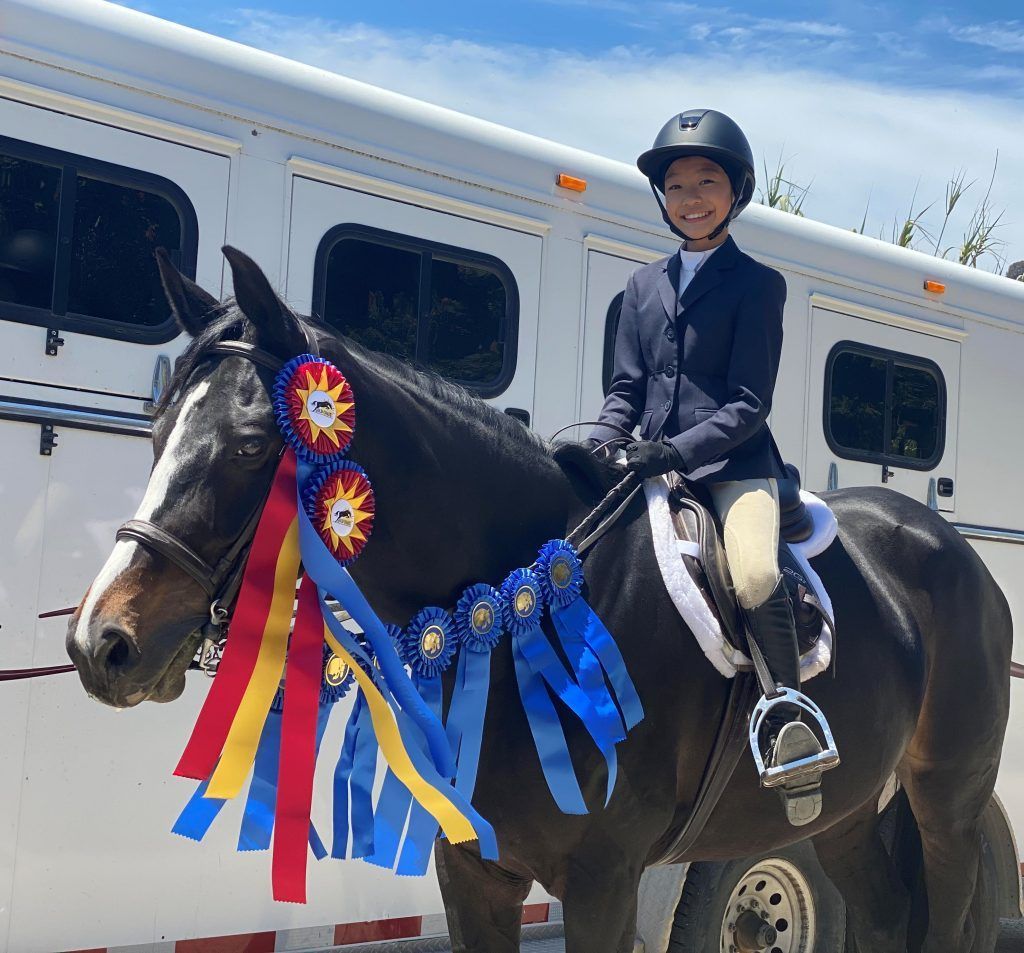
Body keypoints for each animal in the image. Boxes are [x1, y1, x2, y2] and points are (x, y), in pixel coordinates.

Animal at [68, 247, 1011, 953]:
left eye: (249, 445)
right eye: (157, 430)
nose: (99, 642)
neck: (515, 611)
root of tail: (952, 548)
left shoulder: (602, 879)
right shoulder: (473, 870)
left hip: (947, 800)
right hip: (845, 807)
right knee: (883, 914)